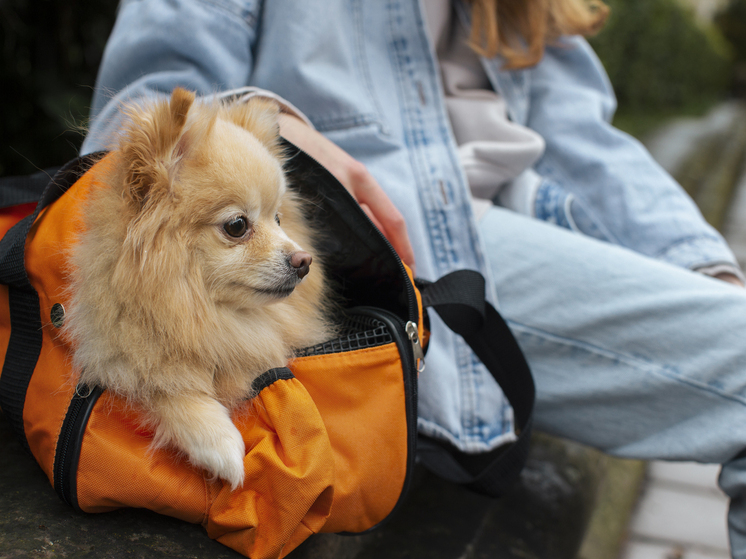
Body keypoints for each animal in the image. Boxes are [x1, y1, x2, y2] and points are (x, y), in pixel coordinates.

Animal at [62, 87, 336, 490]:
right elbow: (161, 384)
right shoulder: (108, 350)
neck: (194, 309)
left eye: (278, 219)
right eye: (237, 225)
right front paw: (218, 441)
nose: (304, 261)